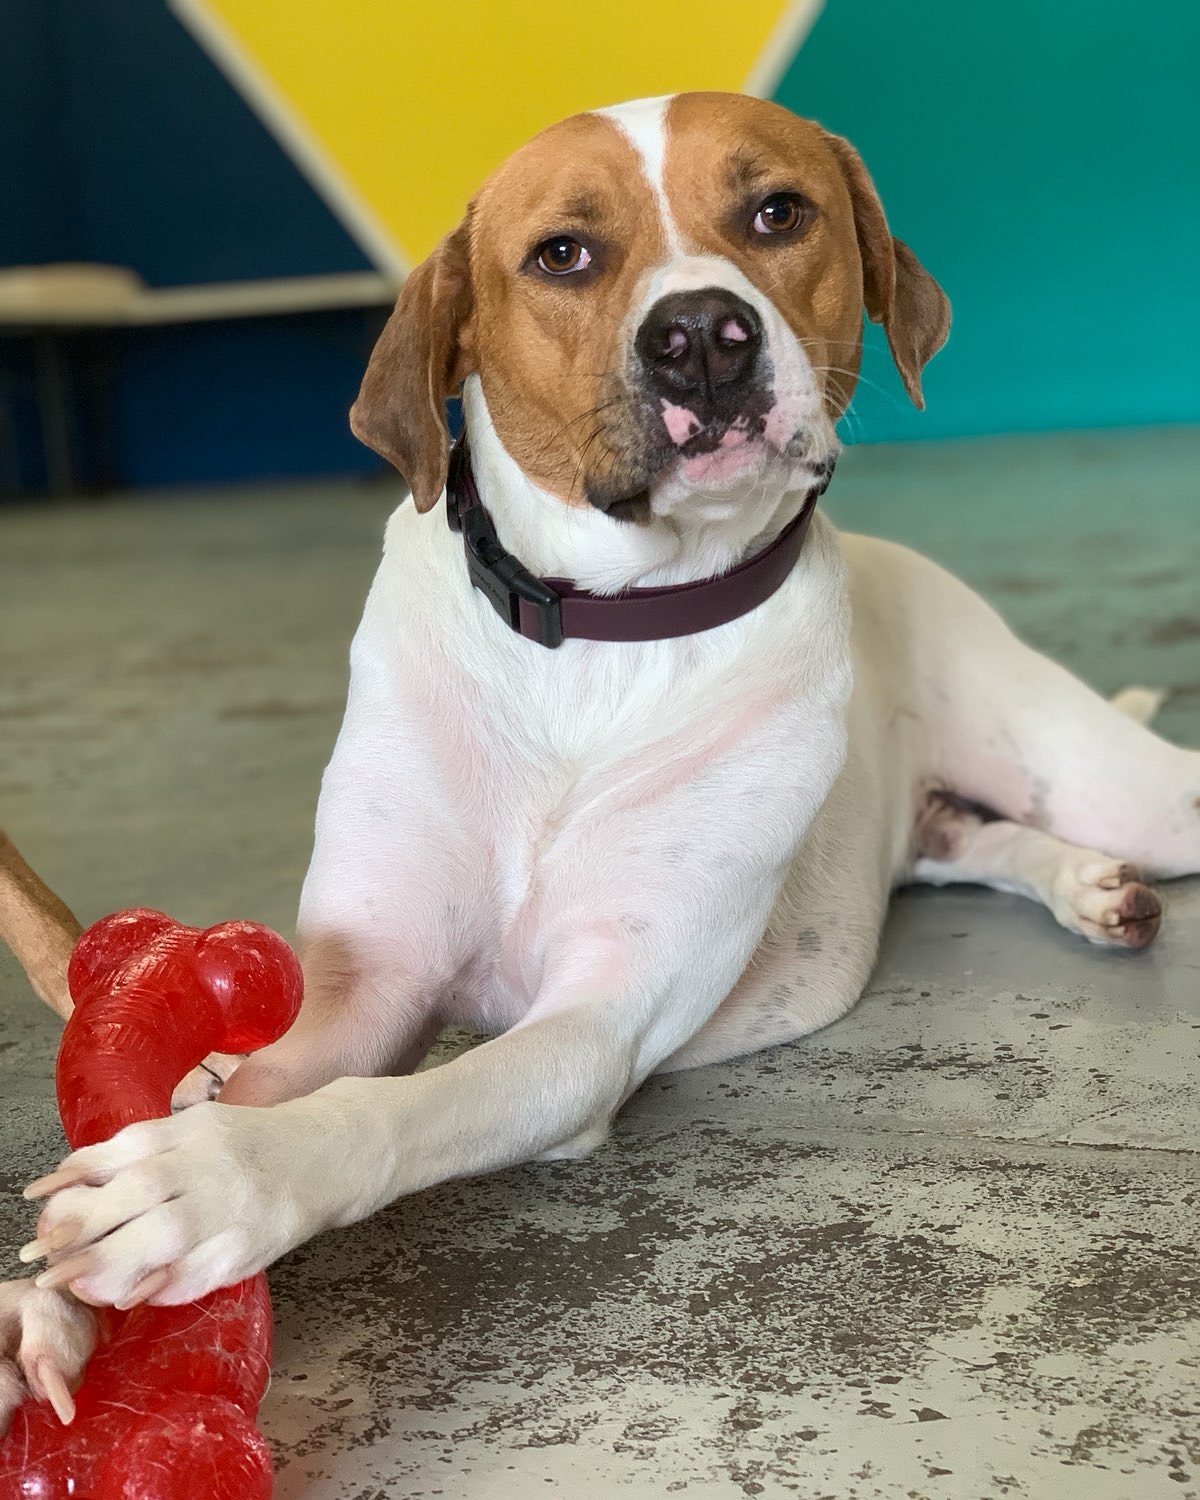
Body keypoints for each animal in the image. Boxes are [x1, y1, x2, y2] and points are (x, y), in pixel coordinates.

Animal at [2, 87, 1200, 1422]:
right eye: (563, 253)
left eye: (778, 212)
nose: (703, 340)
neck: (603, 640)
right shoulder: (374, 984)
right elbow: (256, 1078)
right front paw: (55, 1296)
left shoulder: (591, 1028)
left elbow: (392, 1107)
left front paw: (212, 1183)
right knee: (970, 837)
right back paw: (1083, 885)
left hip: (1125, 786)